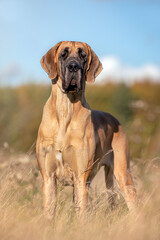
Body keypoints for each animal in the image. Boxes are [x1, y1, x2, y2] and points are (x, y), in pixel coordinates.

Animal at [36, 41, 136, 219]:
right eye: (63, 54)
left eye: (83, 56)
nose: (73, 66)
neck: (66, 108)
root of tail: (114, 118)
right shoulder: (48, 177)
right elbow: (49, 212)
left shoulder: (81, 178)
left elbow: (81, 214)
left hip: (123, 172)